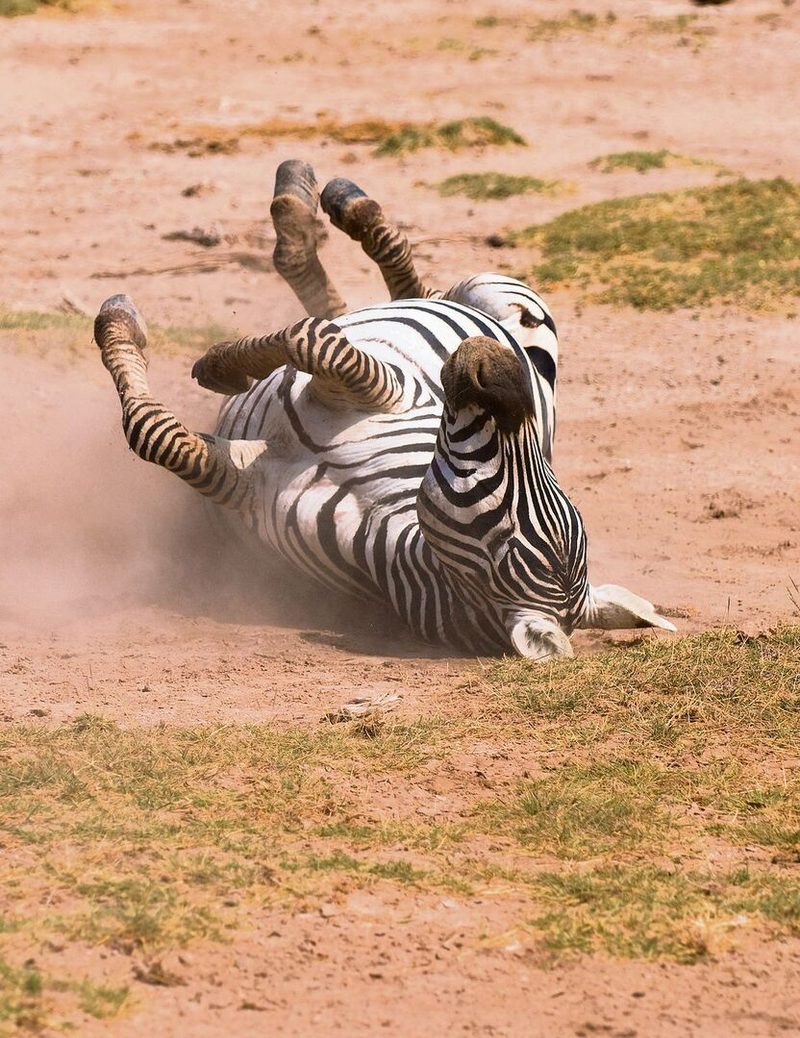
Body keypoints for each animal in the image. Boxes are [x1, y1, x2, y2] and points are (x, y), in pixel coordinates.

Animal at [93, 159, 675, 659]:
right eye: (545, 486)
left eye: (508, 517)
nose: (492, 356)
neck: (374, 511)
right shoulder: (395, 393)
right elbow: (317, 337)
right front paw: (228, 362)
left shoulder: (259, 476)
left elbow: (302, 344)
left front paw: (204, 359)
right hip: (494, 293)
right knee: (398, 292)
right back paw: (322, 204)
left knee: (349, 306)